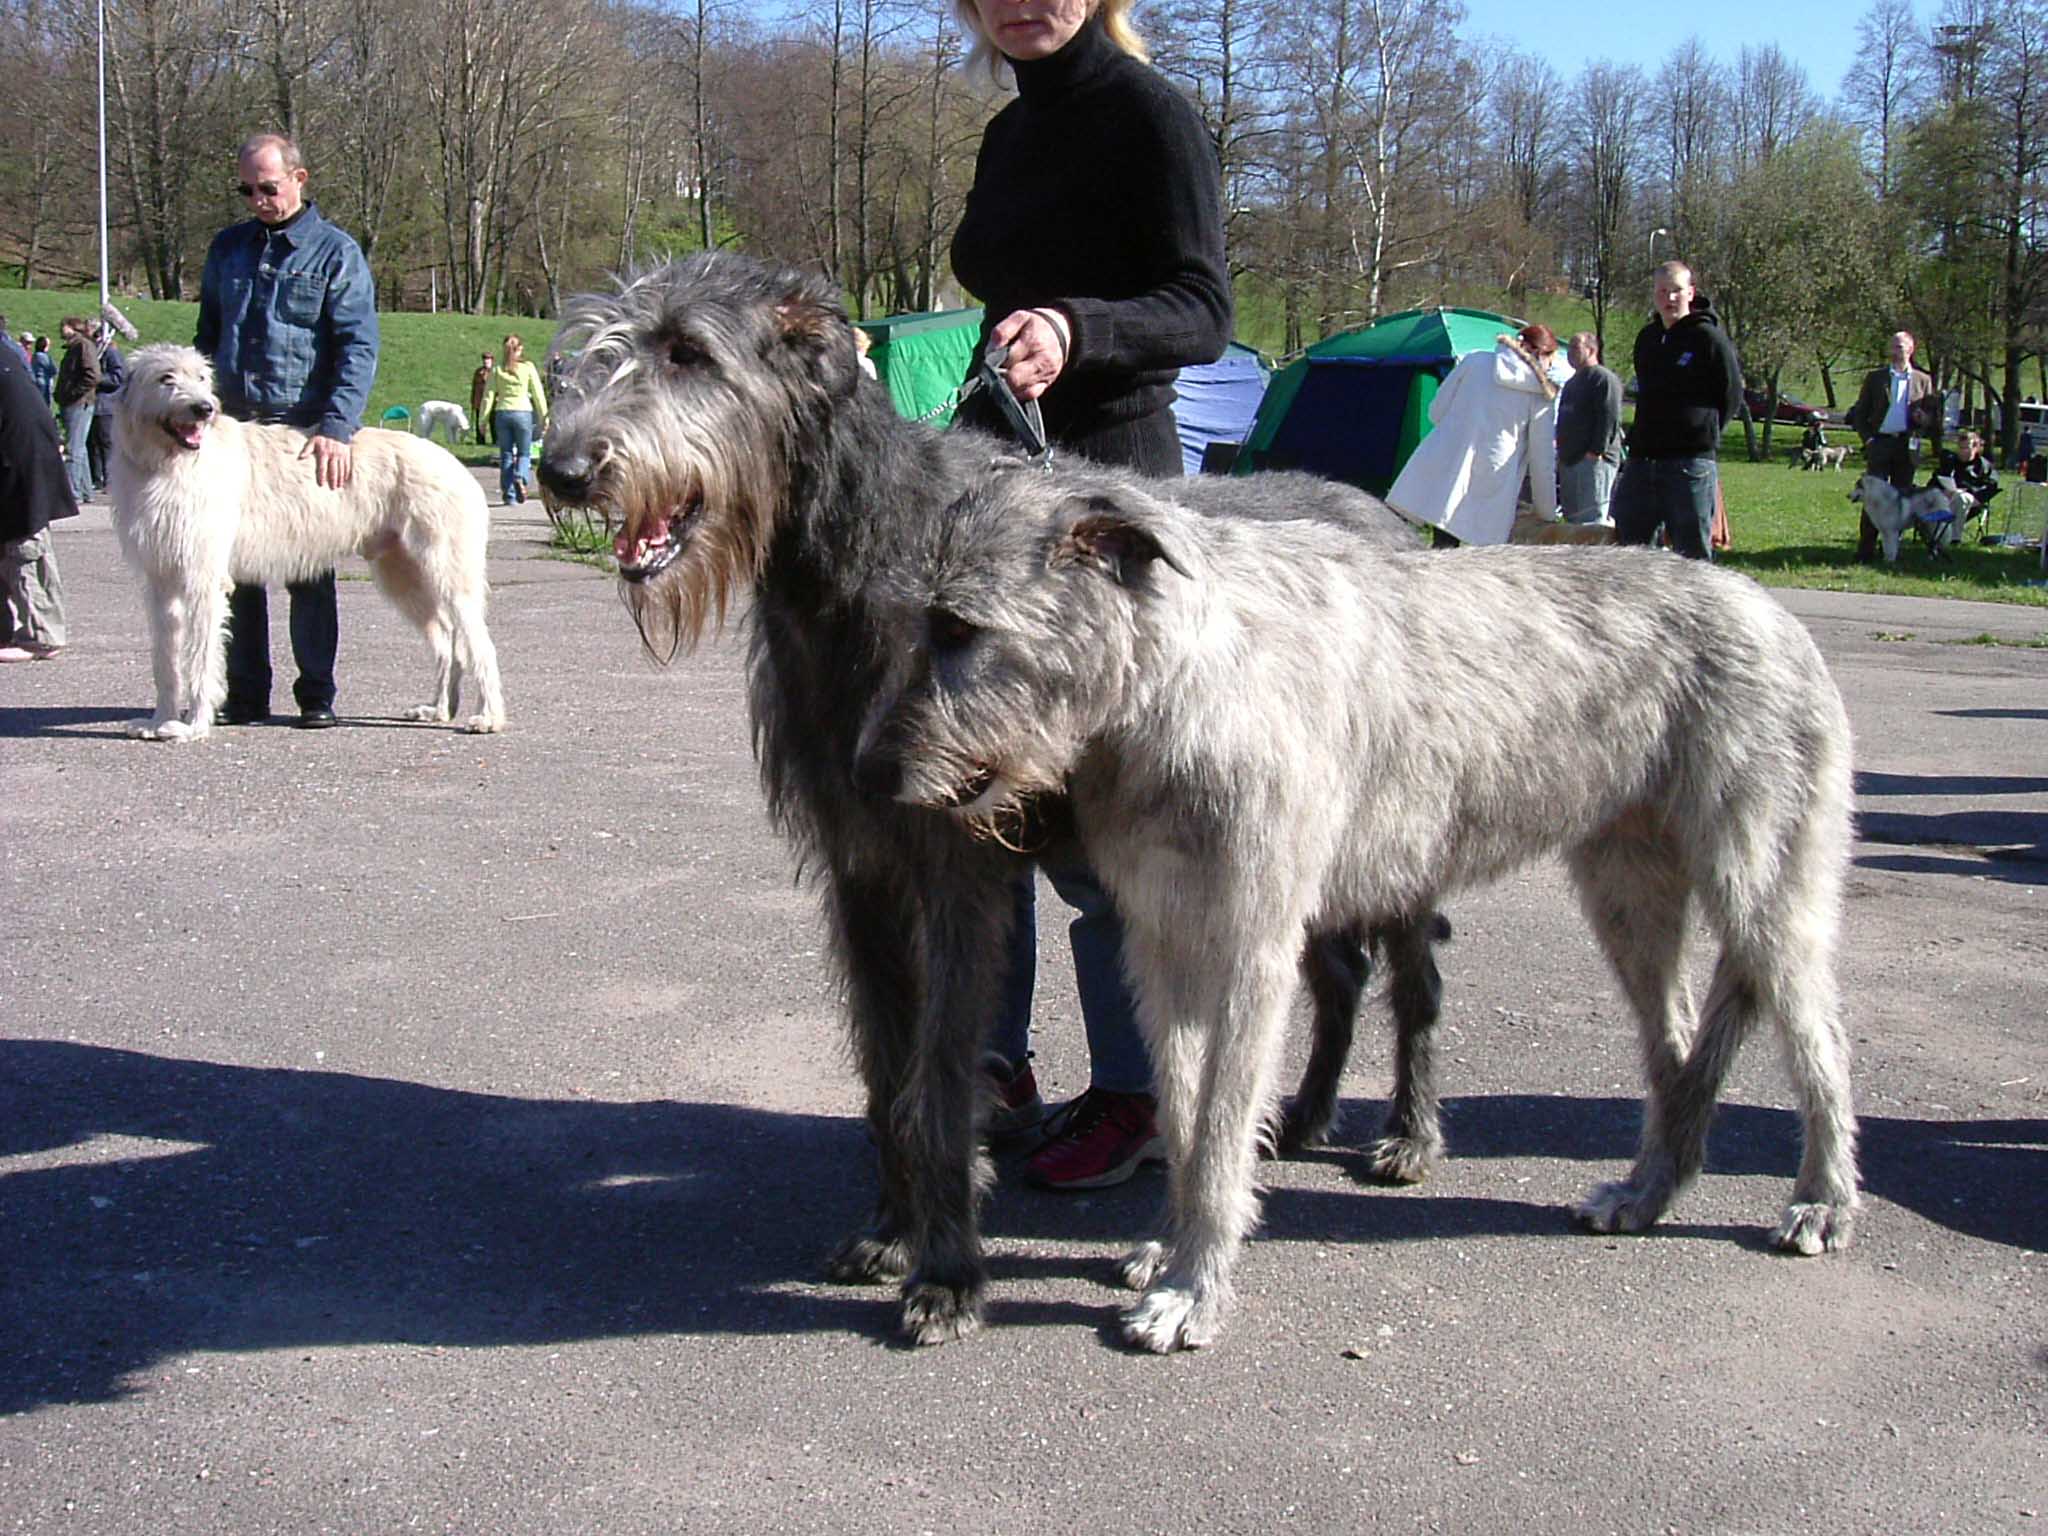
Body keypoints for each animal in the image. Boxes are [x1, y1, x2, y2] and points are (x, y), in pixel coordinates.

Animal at [108, 342, 507, 745]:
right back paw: (438, 708)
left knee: (481, 643)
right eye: (166, 377)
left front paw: (194, 726)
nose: (205, 409)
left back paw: (488, 717)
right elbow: (165, 657)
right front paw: (158, 720)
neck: (169, 462)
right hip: (402, 574)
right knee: (445, 638)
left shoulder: (203, 579)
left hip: (447, 570)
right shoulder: (161, 580)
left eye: (202, 377)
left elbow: (201, 655)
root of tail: (457, 466)